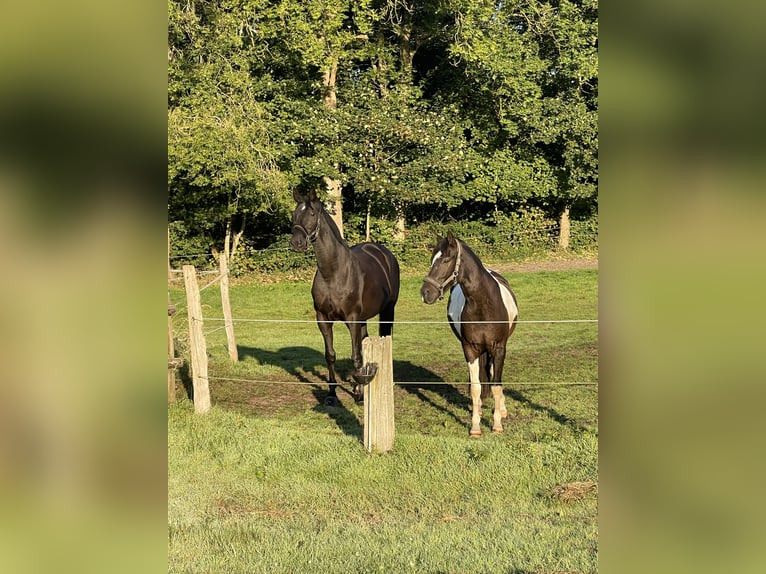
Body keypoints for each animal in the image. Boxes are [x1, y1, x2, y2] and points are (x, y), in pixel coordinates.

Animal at [289, 189, 400, 407]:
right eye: (295, 214)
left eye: (312, 214)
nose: (296, 243)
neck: (333, 273)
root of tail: (384, 253)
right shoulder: (323, 319)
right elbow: (331, 355)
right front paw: (332, 395)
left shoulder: (352, 319)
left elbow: (355, 355)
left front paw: (360, 395)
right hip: (363, 318)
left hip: (387, 311)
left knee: (384, 339)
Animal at [420, 232, 519, 436]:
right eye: (431, 260)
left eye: (446, 260)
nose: (426, 293)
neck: (483, 304)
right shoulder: (470, 349)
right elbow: (475, 387)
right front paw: (475, 427)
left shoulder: (499, 348)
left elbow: (496, 384)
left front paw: (497, 424)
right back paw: (479, 408)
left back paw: (501, 409)